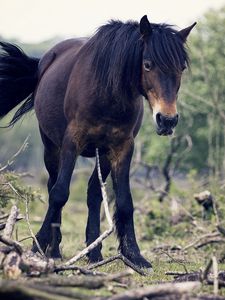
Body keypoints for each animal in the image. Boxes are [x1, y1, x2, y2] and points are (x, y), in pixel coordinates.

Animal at [0, 15, 196, 270]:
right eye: (147, 64)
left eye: (181, 68)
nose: (168, 120)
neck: (107, 94)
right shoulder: (71, 142)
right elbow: (60, 193)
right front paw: (38, 246)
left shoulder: (122, 147)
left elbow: (124, 201)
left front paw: (134, 255)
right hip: (51, 148)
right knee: (53, 184)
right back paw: (54, 249)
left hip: (101, 154)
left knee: (93, 194)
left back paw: (94, 251)